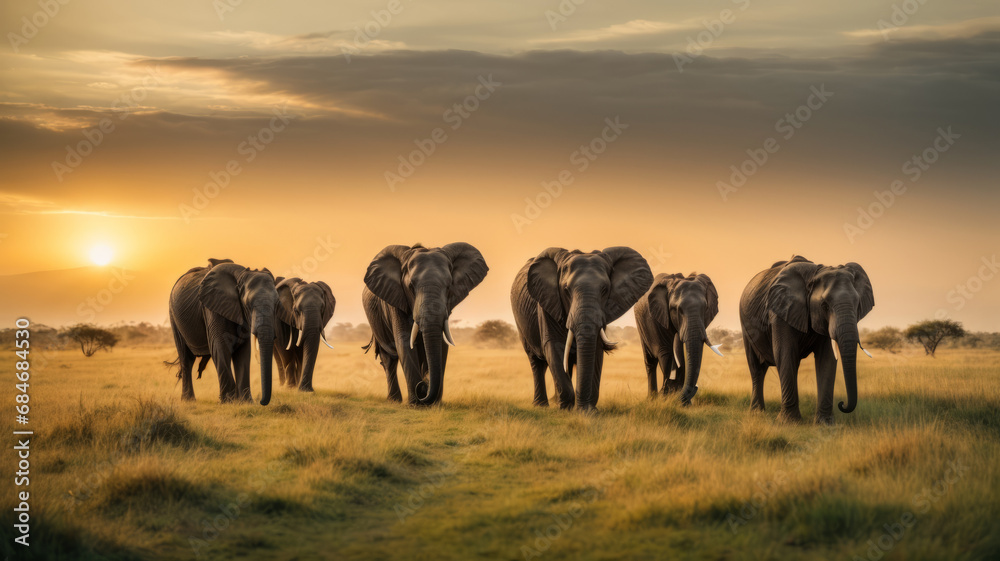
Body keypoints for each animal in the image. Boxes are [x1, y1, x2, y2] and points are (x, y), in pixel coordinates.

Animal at [167, 258, 279, 405]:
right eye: (248, 304)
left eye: (277, 304)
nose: (261, 401)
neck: (241, 276)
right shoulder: (211, 307)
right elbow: (220, 346)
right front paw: (228, 402)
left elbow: (243, 351)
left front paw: (246, 402)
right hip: (173, 317)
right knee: (186, 359)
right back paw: (188, 401)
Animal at [362, 243, 488, 405]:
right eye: (410, 287)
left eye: (449, 286)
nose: (423, 386)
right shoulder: (396, 300)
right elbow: (404, 343)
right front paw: (416, 404)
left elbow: (442, 344)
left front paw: (434, 404)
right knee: (389, 358)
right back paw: (394, 401)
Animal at [511, 247, 653, 411]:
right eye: (566, 290)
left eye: (605, 290)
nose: (583, 408)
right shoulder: (548, 304)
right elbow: (554, 346)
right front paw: (567, 409)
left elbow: (595, 349)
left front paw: (588, 410)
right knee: (537, 362)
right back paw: (542, 405)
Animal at [634, 272, 723, 406]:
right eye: (678, 310)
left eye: (705, 308)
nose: (696, 387)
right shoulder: (658, 319)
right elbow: (667, 353)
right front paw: (666, 399)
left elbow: (680, 358)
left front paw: (683, 403)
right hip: (642, 326)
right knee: (650, 361)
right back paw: (652, 399)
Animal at [739, 255, 874, 424]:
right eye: (824, 305)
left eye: (857, 304)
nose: (842, 404)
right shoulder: (780, 311)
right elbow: (784, 353)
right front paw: (789, 423)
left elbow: (827, 358)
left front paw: (824, 423)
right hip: (746, 325)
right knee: (756, 368)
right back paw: (757, 413)